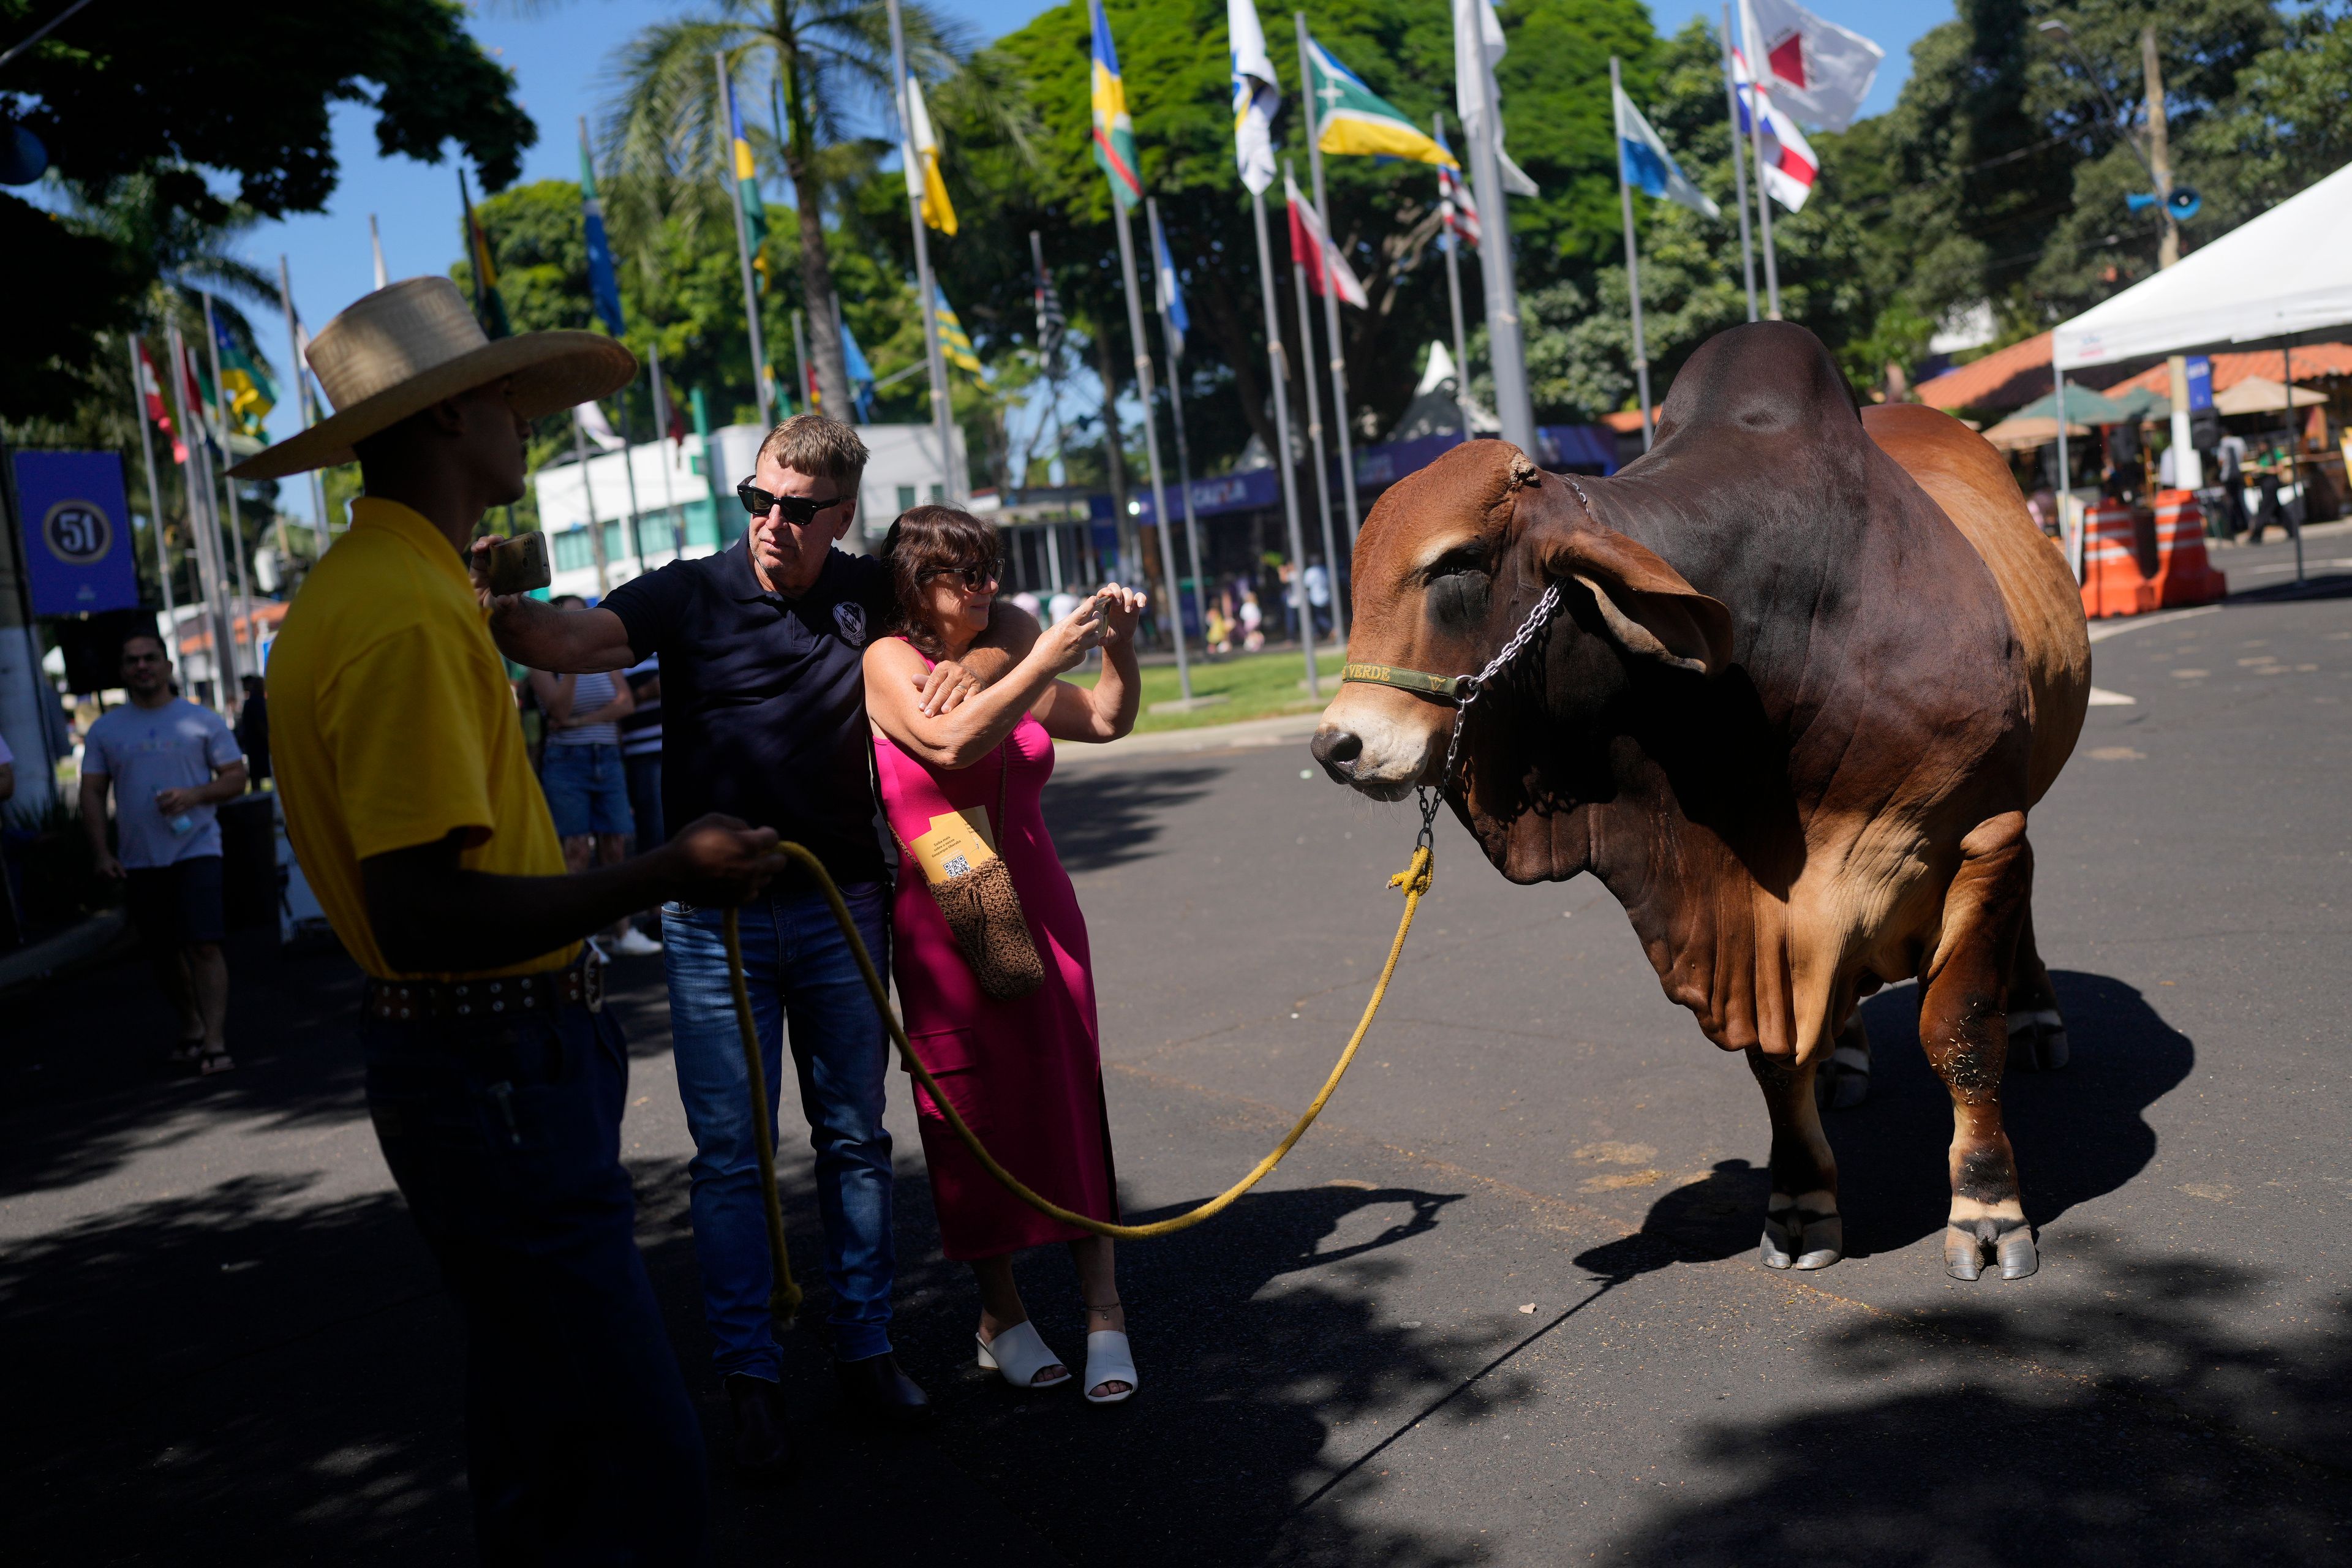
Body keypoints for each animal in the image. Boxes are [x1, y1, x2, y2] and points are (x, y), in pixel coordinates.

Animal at [1317, 324, 2088, 1278]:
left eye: (1456, 566)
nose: (1338, 745)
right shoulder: (1754, 926)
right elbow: (1774, 1061)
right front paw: (1799, 1202)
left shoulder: (1983, 834)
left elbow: (1962, 1034)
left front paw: (1987, 1210)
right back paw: (1845, 1055)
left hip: (2018, 818)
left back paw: (2037, 1012)